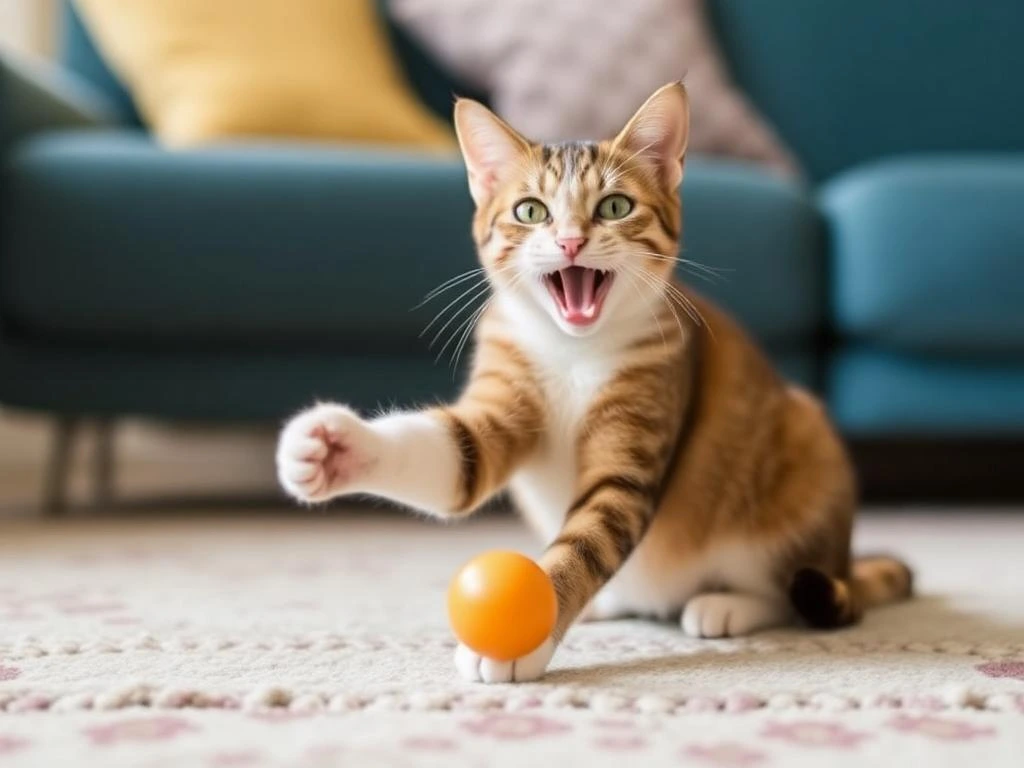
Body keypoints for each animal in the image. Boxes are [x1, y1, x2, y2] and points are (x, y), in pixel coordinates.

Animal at [274, 83, 913, 684]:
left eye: (614, 205)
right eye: (531, 211)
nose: (571, 241)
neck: (571, 353)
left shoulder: (636, 434)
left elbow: (587, 539)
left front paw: (526, 635)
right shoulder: (502, 397)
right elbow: (458, 457)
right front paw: (330, 448)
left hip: (802, 451)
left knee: (793, 587)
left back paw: (725, 605)